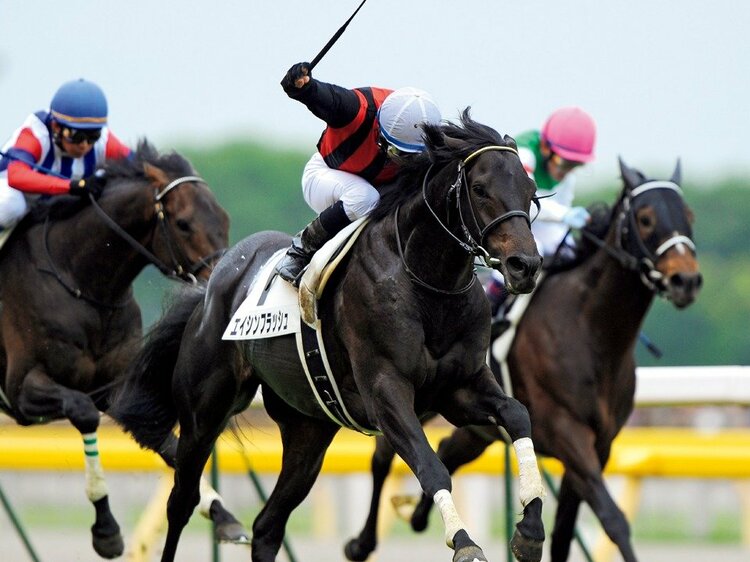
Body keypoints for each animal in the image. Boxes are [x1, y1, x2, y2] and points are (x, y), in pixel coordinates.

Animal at [0, 140, 240, 559]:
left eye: (223, 218)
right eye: (183, 223)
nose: (220, 285)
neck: (82, 284)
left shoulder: (121, 387)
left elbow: (168, 443)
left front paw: (222, 514)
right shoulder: (22, 388)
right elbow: (83, 413)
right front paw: (106, 530)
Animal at [109, 110, 549, 562]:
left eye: (531, 190)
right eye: (479, 189)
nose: (525, 265)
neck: (427, 284)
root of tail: (213, 282)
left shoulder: (459, 387)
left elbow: (517, 415)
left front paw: (530, 531)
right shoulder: (387, 392)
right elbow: (430, 465)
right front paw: (464, 542)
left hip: (308, 431)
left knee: (267, 526)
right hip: (205, 413)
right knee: (182, 501)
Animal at [345, 158, 703, 562]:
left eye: (688, 214)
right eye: (645, 218)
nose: (686, 280)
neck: (594, 334)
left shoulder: (600, 445)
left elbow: (565, 532)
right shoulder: (567, 434)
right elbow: (613, 519)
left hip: (474, 423)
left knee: (449, 449)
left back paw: (419, 516)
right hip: (416, 399)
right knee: (383, 457)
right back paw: (362, 542)